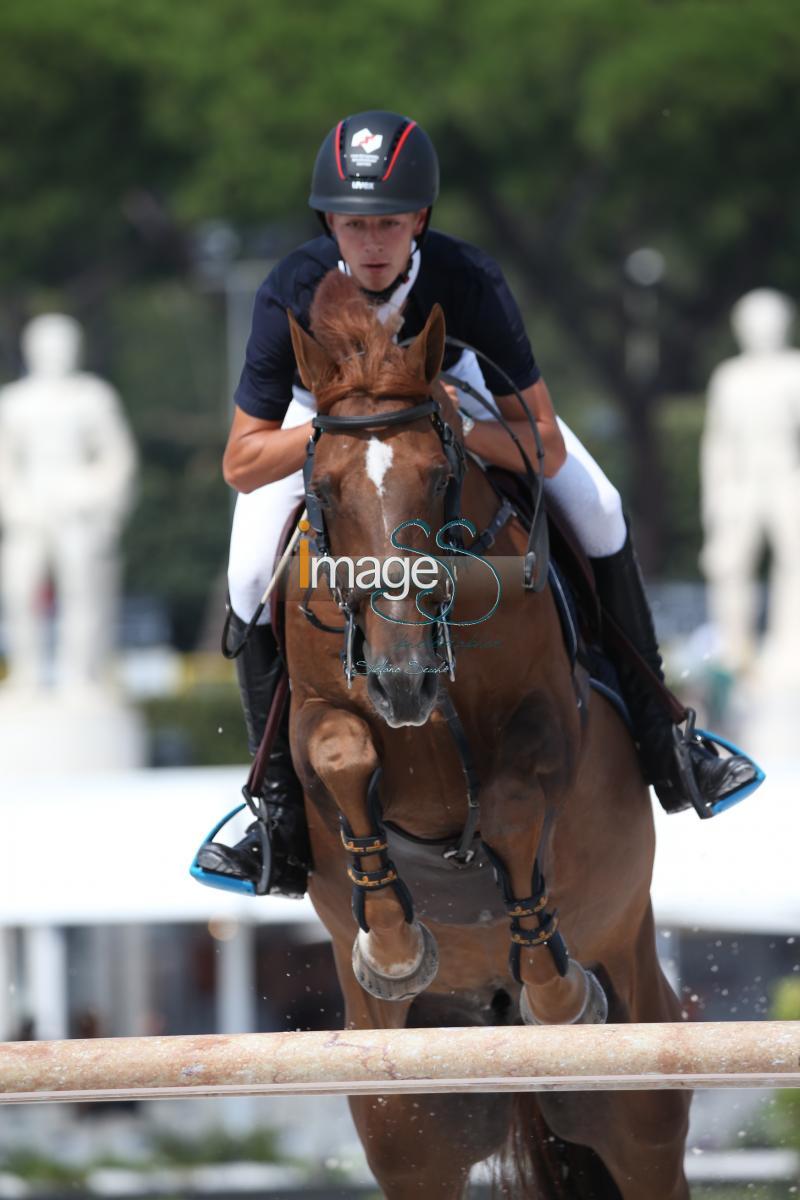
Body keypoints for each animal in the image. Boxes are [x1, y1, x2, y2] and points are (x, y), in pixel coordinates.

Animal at [281, 272, 690, 1200]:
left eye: (439, 478)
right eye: (323, 489)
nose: (402, 679)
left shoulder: (554, 723)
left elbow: (508, 812)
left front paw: (557, 990)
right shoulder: (314, 715)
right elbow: (343, 754)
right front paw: (395, 946)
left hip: (640, 1084)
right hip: (409, 1118)